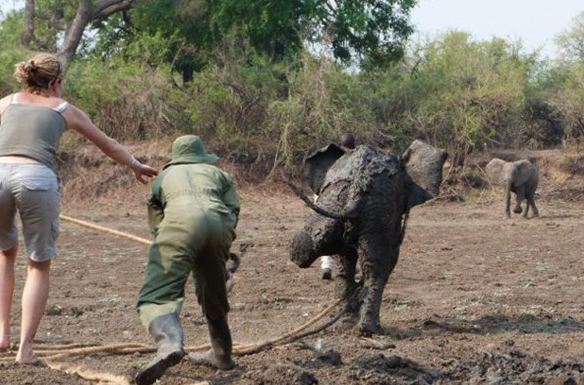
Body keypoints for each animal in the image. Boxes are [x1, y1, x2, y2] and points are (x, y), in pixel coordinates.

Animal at [288, 140, 448, 334]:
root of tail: (357, 187)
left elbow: (346, 259)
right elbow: (390, 258)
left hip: (336, 204)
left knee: (334, 260)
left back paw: (346, 324)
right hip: (375, 211)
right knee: (375, 268)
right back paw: (370, 329)